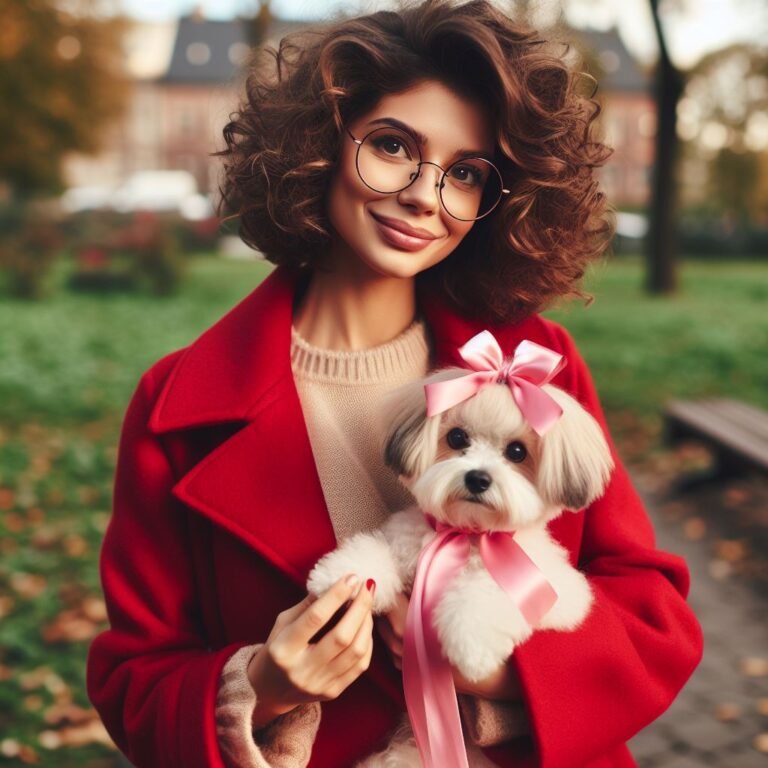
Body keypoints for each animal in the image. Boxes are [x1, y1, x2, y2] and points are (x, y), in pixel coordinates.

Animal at [306, 364, 612, 764]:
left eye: (517, 451)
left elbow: (488, 591)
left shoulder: (559, 594)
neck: (467, 536)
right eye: (456, 437)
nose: (478, 478)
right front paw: (343, 575)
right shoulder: (406, 544)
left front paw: (471, 645)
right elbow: (378, 551)